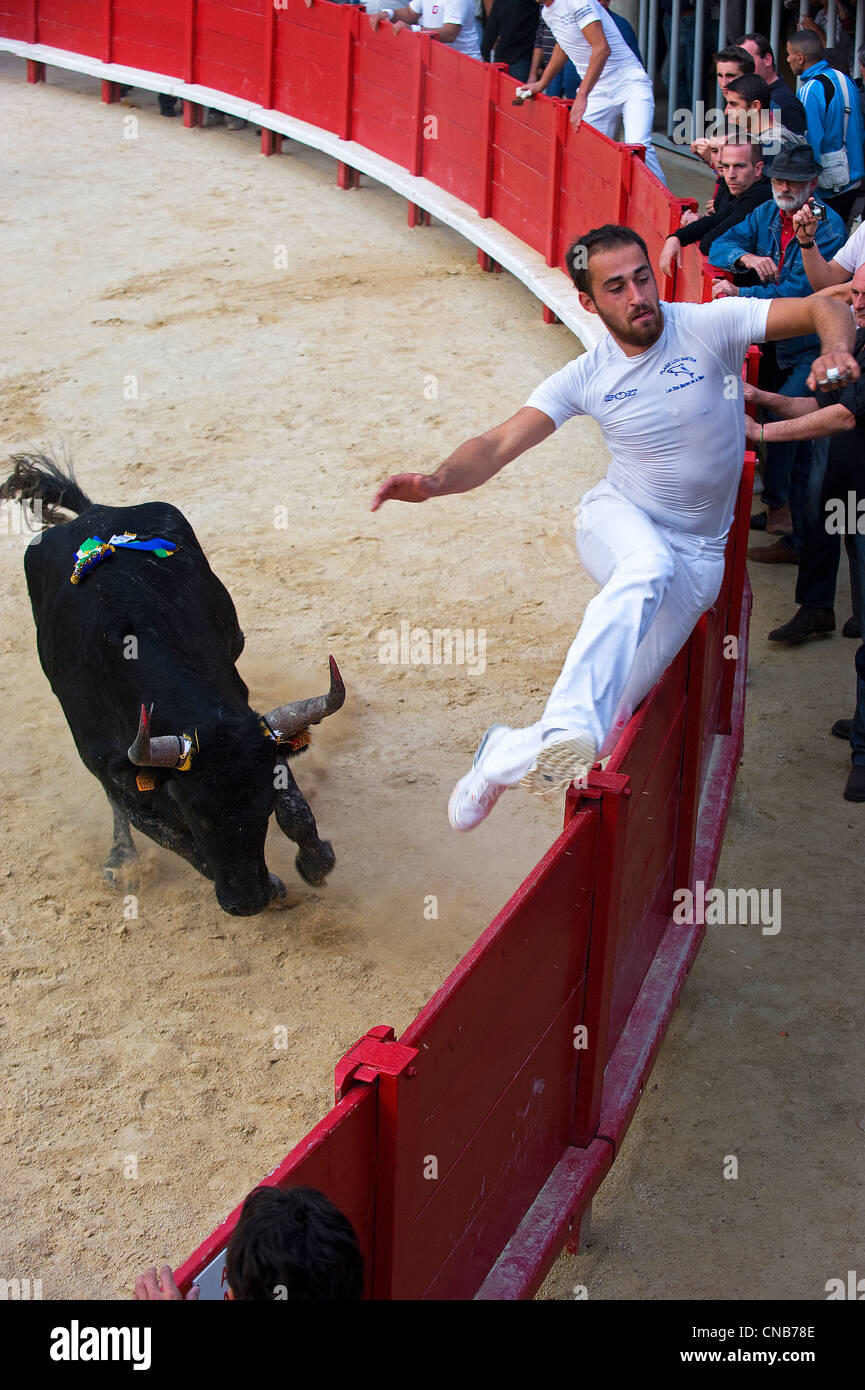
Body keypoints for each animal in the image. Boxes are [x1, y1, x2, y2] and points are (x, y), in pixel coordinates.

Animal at [3, 455, 349, 911]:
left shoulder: (253, 731)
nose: (249, 901)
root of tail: (93, 515)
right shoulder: (114, 770)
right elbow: (176, 840)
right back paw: (122, 862)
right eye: (195, 812)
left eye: (263, 807)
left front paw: (316, 861)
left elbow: (294, 807)